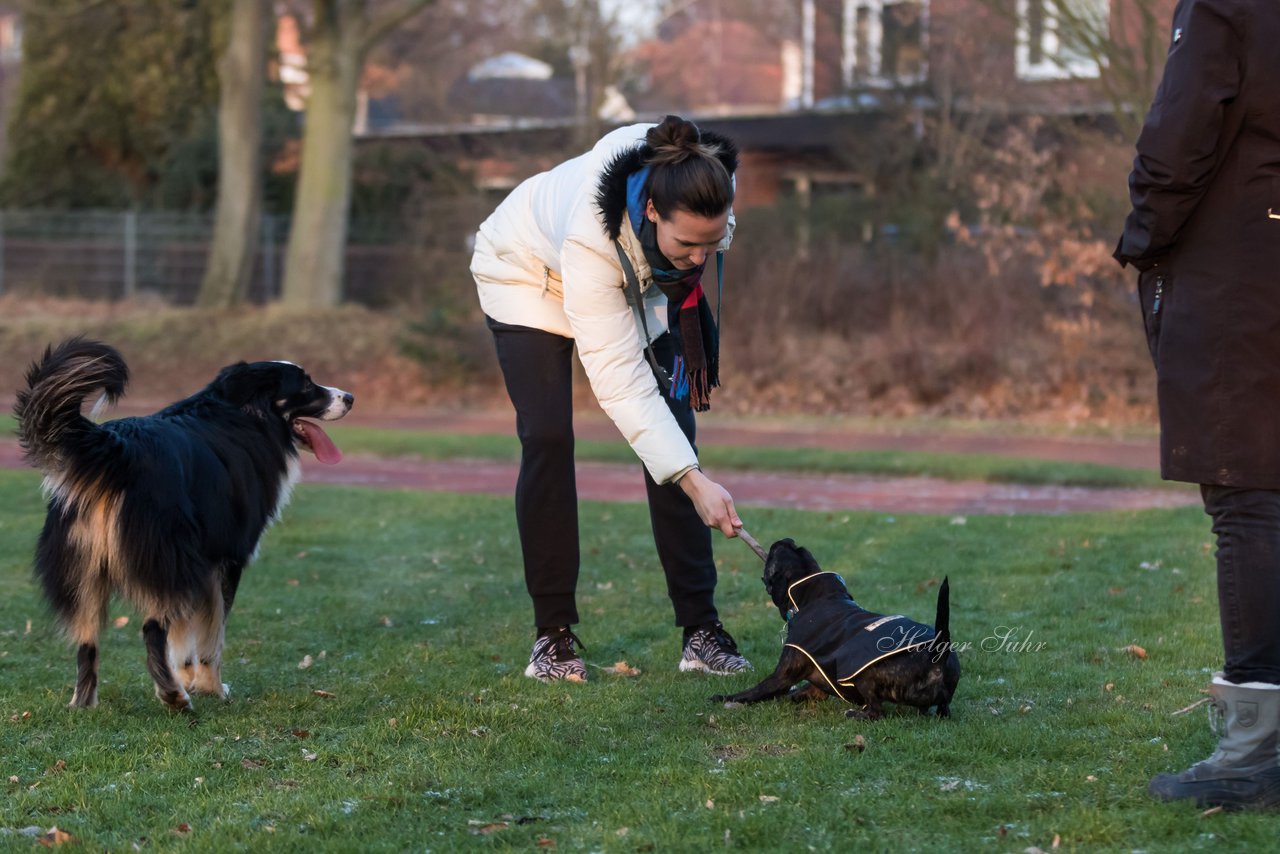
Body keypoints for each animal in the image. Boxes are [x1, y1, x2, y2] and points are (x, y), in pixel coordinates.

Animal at [16, 338, 355, 711]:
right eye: (307, 385)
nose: (350, 397)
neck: (245, 414)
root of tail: (117, 449)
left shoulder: (198, 565)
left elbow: (183, 637)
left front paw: (189, 677)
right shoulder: (224, 559)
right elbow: (213, 636)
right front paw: (211, 687)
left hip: (87, 575)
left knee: (87, 641)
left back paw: (83, 704)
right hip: (164, 563)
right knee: (151, 629)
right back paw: (173, 697)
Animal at [711, 537, 962, 717]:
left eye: (774, 554)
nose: (783, 539)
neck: (816, 596)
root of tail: (936, 654)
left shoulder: (781, 677)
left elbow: (753, 692)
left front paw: (724, 698)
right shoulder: (815, 683)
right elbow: (801, 691)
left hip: (865, 676)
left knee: (877, 712)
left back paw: (857, 713)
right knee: (943, 710)